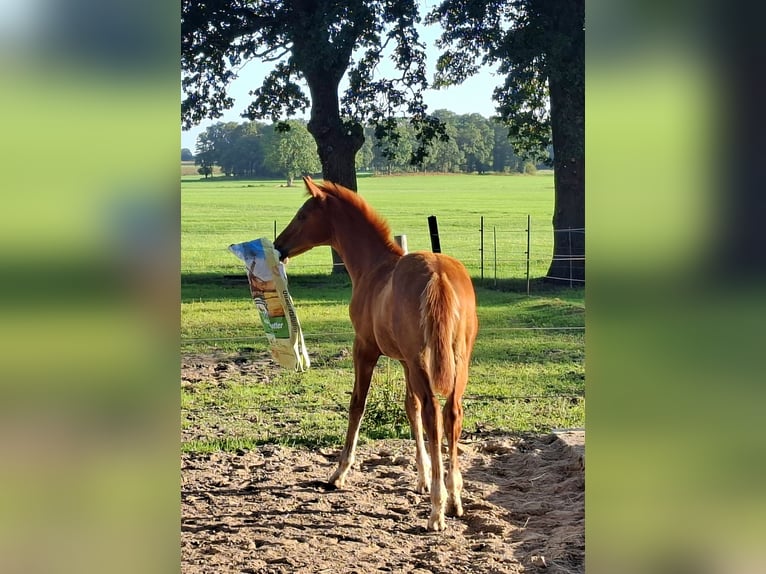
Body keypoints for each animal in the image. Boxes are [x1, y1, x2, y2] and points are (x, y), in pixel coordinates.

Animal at [274, 176, 478, 531]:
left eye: (302, 215)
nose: (278, 246)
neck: (374, 267)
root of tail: (438, 275)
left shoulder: (366, 348)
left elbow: (358, 404)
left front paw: (338, 473)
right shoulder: (405, 361)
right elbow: (410, 408)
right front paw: (421, 477)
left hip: (422, 362)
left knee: (434, 414)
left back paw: (437, 510)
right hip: (455, 362)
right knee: (451, 413)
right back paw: (453, 499)